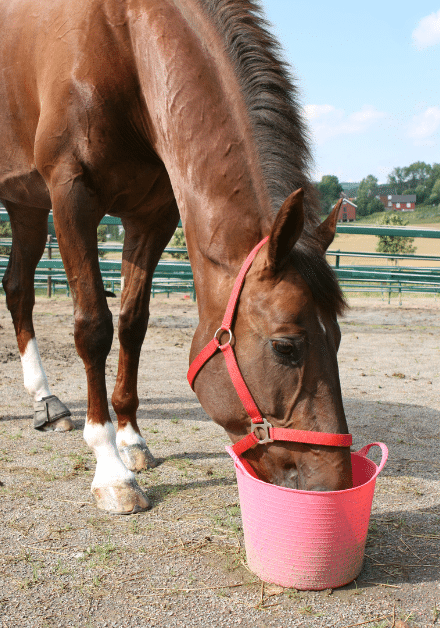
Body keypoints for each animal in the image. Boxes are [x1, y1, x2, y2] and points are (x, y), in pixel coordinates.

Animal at [0, 0, 350, 516]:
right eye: (286, 347)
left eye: (339, 338)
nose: (335, 485)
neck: (120, 39)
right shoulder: (71, 195)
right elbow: (93, 326)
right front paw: (111, 468)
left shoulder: (152, 216)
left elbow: (132, 323)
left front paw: (131, 439)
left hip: (25, 206)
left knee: (18, 291)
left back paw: (46, 400)